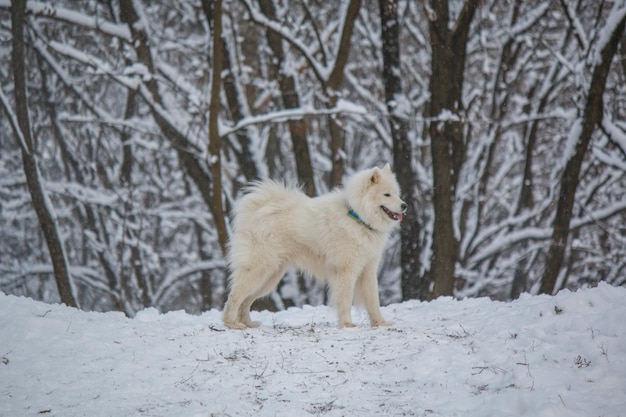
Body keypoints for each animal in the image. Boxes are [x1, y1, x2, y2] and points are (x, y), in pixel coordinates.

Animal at [221, 163, 404, 328]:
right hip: (260, 271)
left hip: (269, 278)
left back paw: (248, 324)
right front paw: (347, 324)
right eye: (387, 195)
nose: (405, 205)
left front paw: (380, 323)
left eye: (397, 194)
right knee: (234, 296)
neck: (358, 217)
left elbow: (373, 301)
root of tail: (257, 211)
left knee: (246, 301)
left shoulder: (368, 270)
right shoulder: (345, 270)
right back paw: (232, 324)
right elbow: (345, 300)